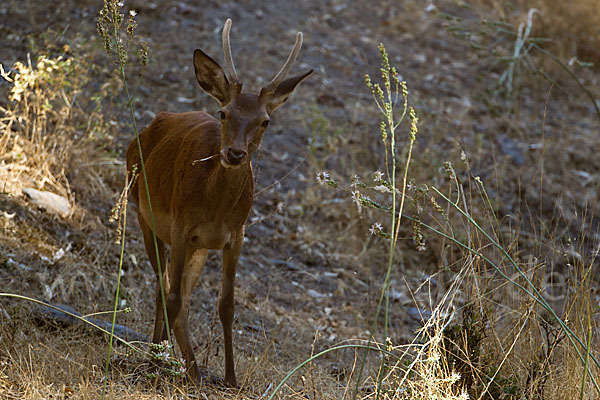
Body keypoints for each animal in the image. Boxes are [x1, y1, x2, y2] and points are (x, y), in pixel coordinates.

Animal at [127, 19, 314, 388]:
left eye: (265, 121)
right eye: (224, 112)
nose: (235, 153)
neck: (215, 208)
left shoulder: (235, 235)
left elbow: (226, 304)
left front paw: (230, 377)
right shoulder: (181, 227)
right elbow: (171, 296)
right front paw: (156, 364)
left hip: (197, 247)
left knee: (181, 297)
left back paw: (192, 369)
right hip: (143, 215)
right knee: (163, 289)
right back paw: (162, 356)